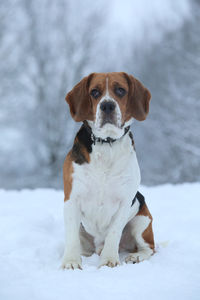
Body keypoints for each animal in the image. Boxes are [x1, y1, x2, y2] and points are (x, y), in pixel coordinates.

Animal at [61, 72, 155, 270]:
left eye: (120, 90)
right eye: (94, 92)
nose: (107, 105)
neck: (107, 143)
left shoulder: (124, 201)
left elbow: (114, 233)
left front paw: (109, 261)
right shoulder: (71, 199)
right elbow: (71, 236)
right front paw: (71, 262)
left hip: (142, 221)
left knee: (150, 248)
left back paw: (135, 256)